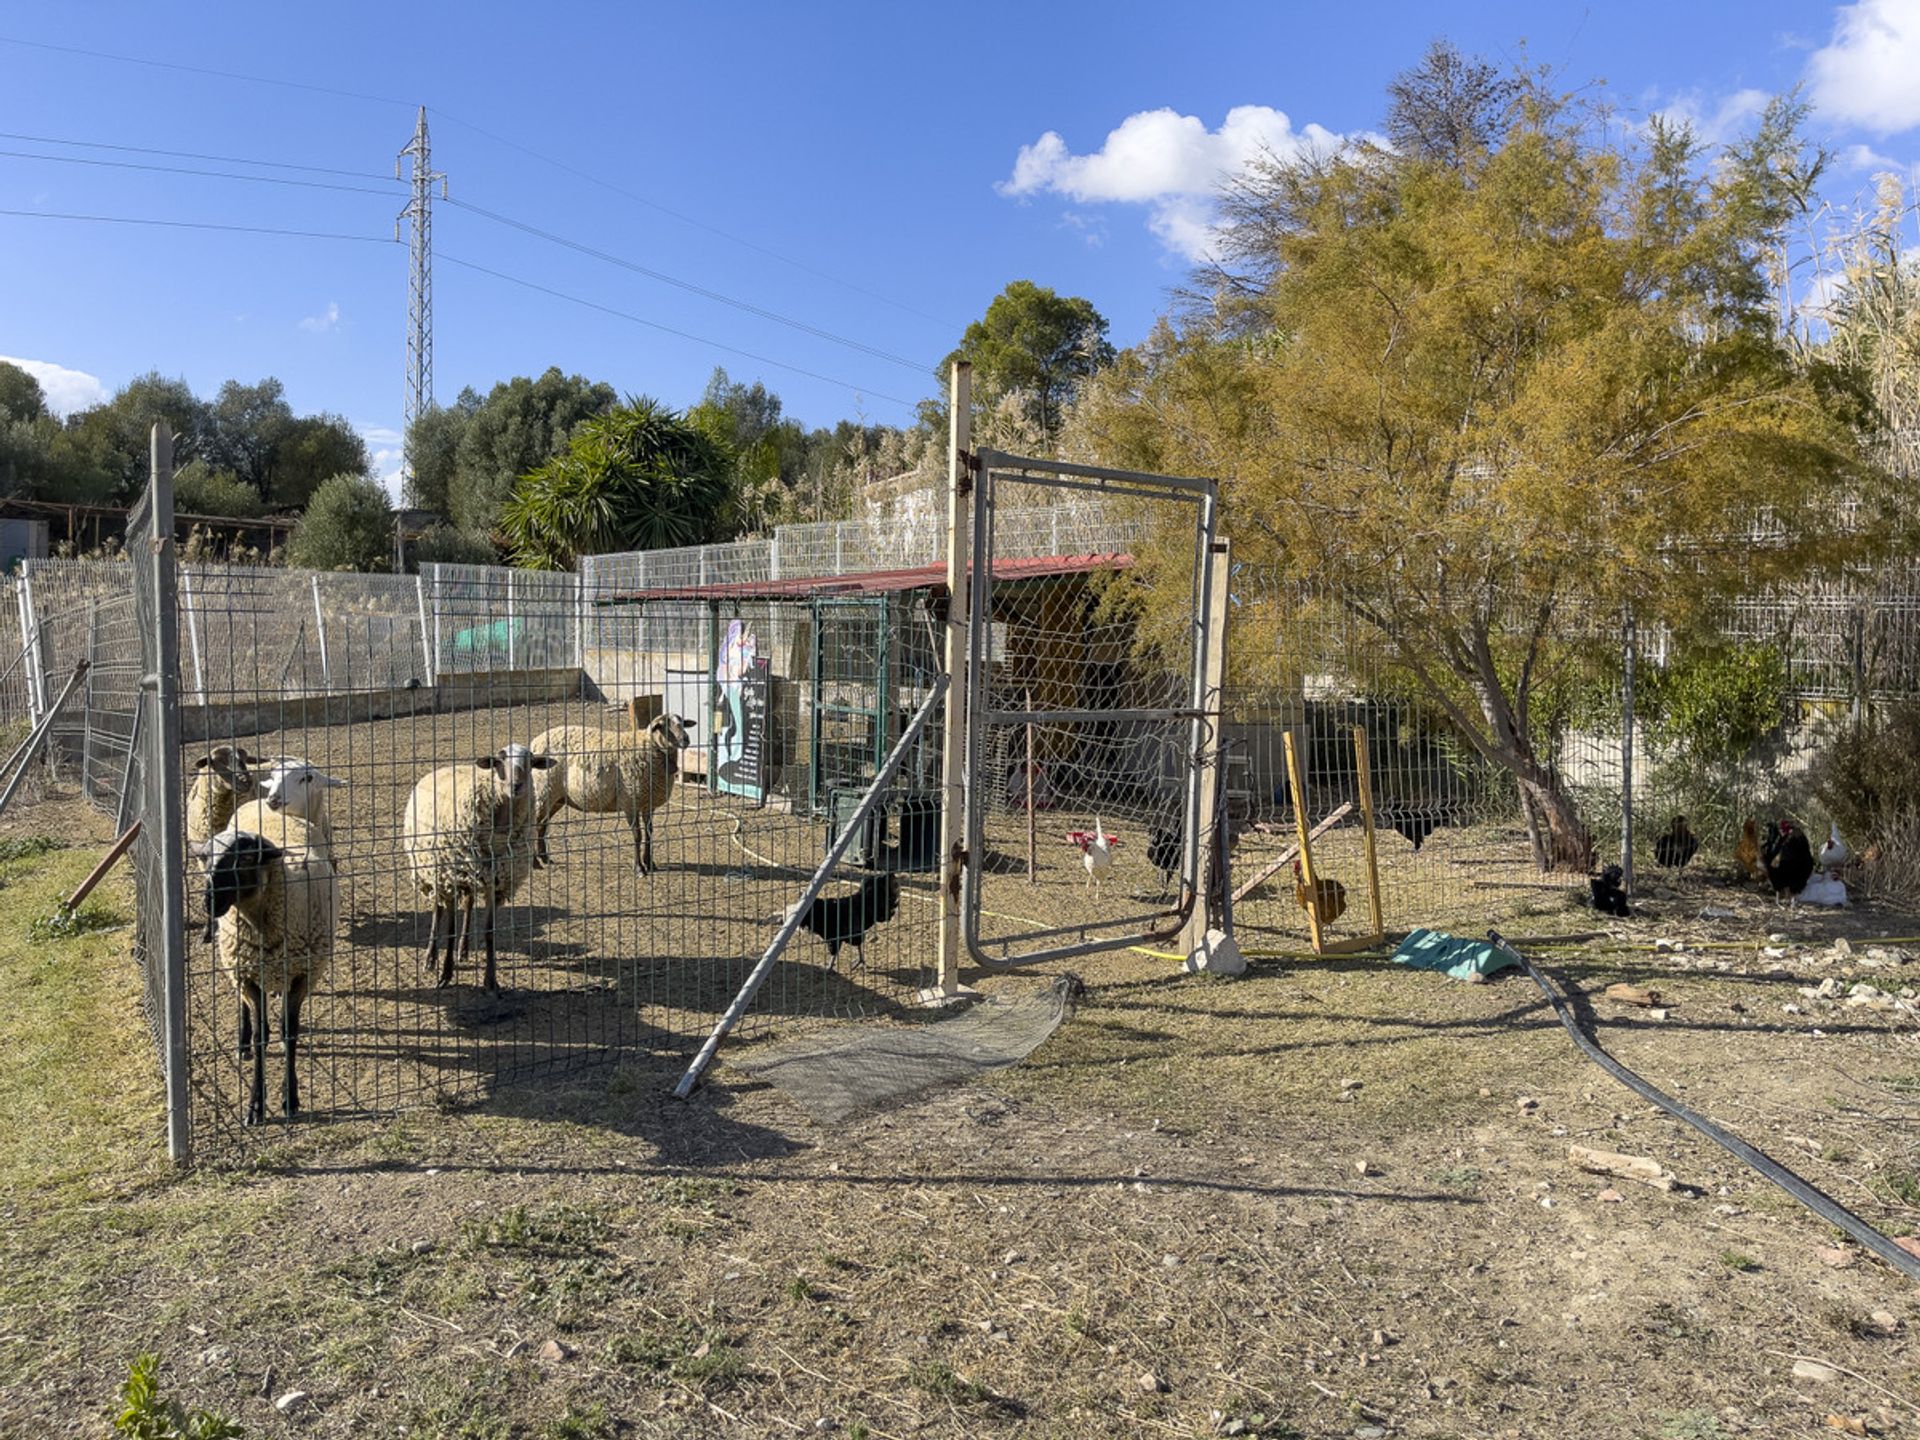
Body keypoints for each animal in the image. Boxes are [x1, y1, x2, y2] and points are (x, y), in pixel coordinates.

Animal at [194, 814, 337, 1128]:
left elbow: (289, 1032)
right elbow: (261, 1035)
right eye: (205, 858)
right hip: (239, 968)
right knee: (244, 1008)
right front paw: (256, 1105)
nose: (209, 901)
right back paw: (242, 1042)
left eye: (247, 857)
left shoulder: (303, 976)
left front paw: (290, 1098)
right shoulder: (247, 977)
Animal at [401, 744, 556, 990]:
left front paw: (490, 981)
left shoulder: (496, 882)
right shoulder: (451, 878)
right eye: (499, 760)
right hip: (433, 872)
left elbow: (489, 932)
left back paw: (463, 950)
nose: (516, 786)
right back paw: (430, 958)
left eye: (531, 761)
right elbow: (450, 930)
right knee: (437, 910)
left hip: (472, 875)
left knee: (468, 905)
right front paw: (445, 975)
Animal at [529, 718, 695, 875]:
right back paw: (535, 863)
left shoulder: (648, 803)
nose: (686, 739)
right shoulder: (630, 801)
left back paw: (545, 858)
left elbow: (649, 833)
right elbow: (637, 835)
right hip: (544, 790)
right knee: (534, 826)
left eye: (682, 722)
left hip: (555, 798)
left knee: (542, 825)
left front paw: (650, 863)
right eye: (661, 726)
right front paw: (639, 868)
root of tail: (535, 742)